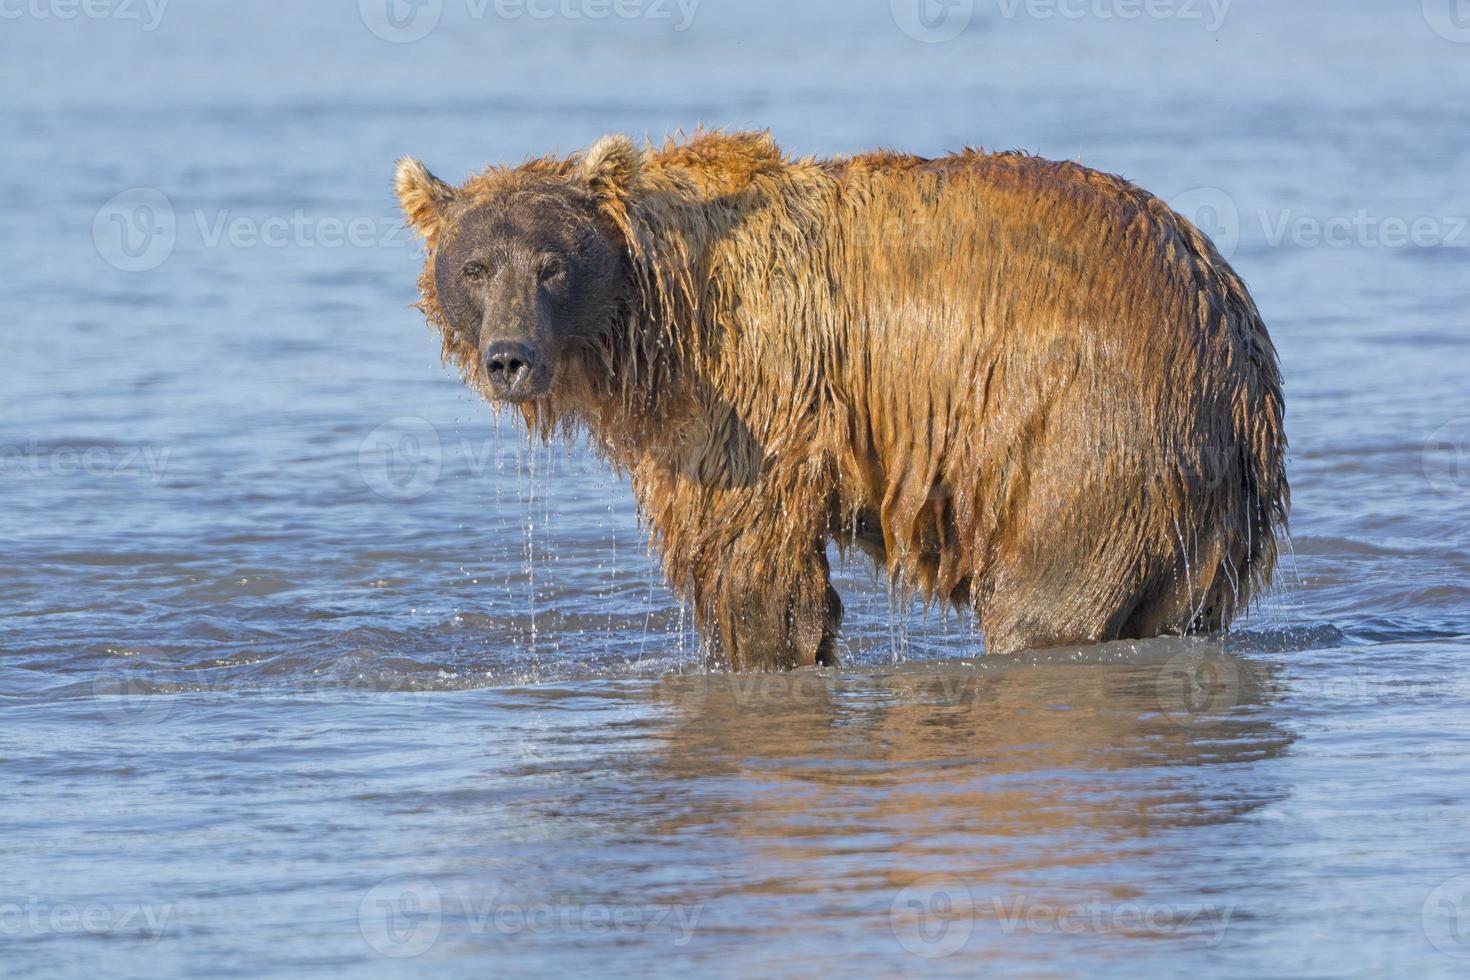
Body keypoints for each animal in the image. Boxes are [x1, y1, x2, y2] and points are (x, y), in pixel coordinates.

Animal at [391, 132, 1287, 675]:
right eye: (475, 267)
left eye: (550, 265)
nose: (511, 357)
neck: (655, 318)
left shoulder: (753, 392)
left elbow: (751, 561)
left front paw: (765, 652)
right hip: (1207, 519)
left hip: (1081, 433)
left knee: (1046, 600)